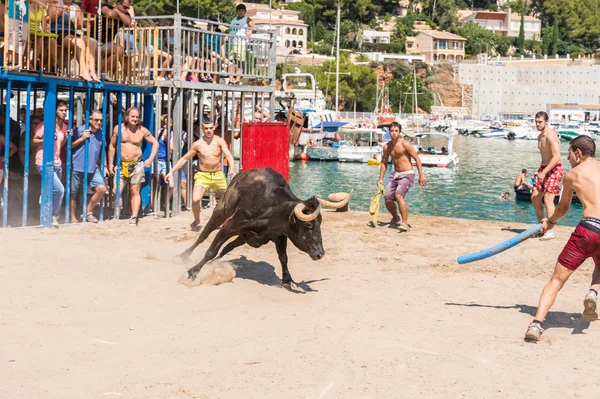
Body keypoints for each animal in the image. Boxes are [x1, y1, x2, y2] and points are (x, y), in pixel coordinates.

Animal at [178, 167, 340, 286]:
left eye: (320, 223)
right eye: (309, 224)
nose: (320, 254)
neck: (272, 209)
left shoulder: (280, 235)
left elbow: (283, 257)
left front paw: (288, 280)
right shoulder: (229, 225)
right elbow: (211, 251)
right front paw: (192, 272)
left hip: (243, 237)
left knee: (227, 247)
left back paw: (213, 265)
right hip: (220, 212)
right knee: (203, 235)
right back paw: (183, 256)